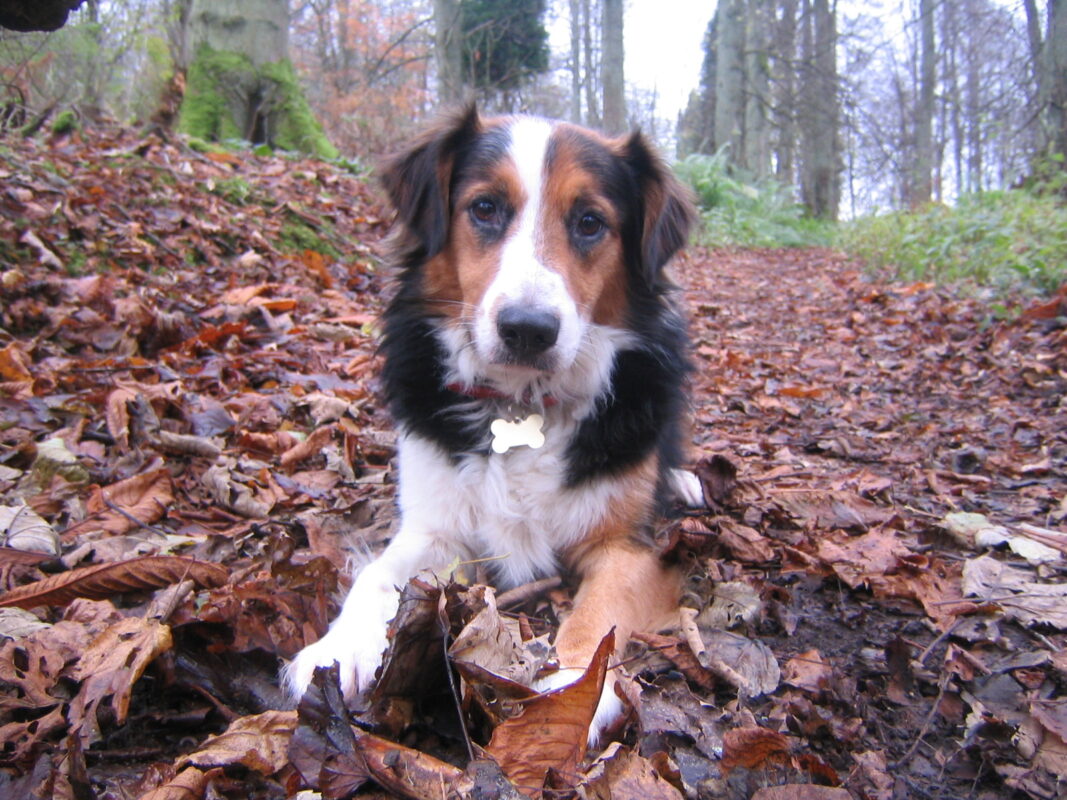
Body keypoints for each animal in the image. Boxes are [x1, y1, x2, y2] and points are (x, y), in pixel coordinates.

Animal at [281, 106, 699, 746]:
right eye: (484, 208)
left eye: (590, 222)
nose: (527, 329)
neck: (520, 401)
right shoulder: (434, 528)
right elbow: (375, 573)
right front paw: (340, 646)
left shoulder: (628, 548)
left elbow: (599, 611)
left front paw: (575, 685)